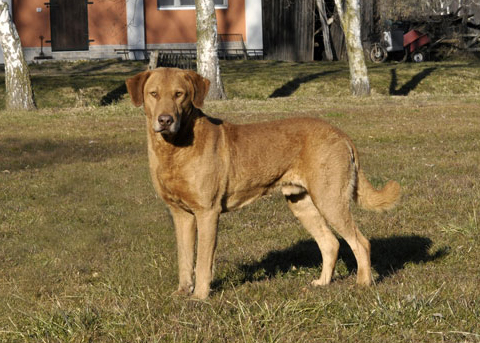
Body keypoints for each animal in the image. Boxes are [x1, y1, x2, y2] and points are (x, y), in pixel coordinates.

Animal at [125, 68, 400, 300]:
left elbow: (202, 261)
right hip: (301, 202)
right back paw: (322, 283)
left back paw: (363, 284)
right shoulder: (180, 214)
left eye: (179, 94)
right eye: (153, 94)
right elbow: (184, 258)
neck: (174, 148)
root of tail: (342, 135)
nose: (165, 120)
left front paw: (200, 297)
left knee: (360, 242)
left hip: (330, 199)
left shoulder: (207, 212)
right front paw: (182, 293)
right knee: (330, 243)